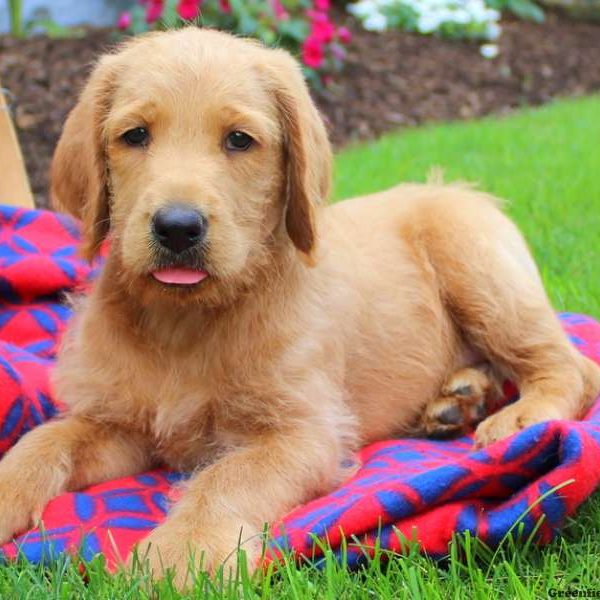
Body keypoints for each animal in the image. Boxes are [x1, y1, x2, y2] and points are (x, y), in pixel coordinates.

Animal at [1, 28, 600, 584]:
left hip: (478, 268)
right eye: (135, 135)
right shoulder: (116, 424)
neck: (184, 321)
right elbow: (43, 440)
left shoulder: (303, 434)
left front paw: (180, 553)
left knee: (569, 364)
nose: (177, 227)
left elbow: (225, 478)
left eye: (239, 140)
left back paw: (518, 415)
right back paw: (458, 398)